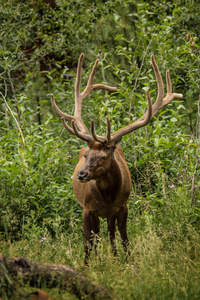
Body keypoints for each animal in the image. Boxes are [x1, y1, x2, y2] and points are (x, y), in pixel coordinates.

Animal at [51, 54, 183, 264]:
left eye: (103, 156)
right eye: (85, 155)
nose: (81, 175)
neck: (107, 197)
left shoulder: (122, 207)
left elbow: (124, 238)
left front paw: (128, 262)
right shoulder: (87, 208)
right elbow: (87, 242)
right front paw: (87, 265)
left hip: (110, 214)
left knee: (110, 233)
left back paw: (112, 256)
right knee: (97, 235)